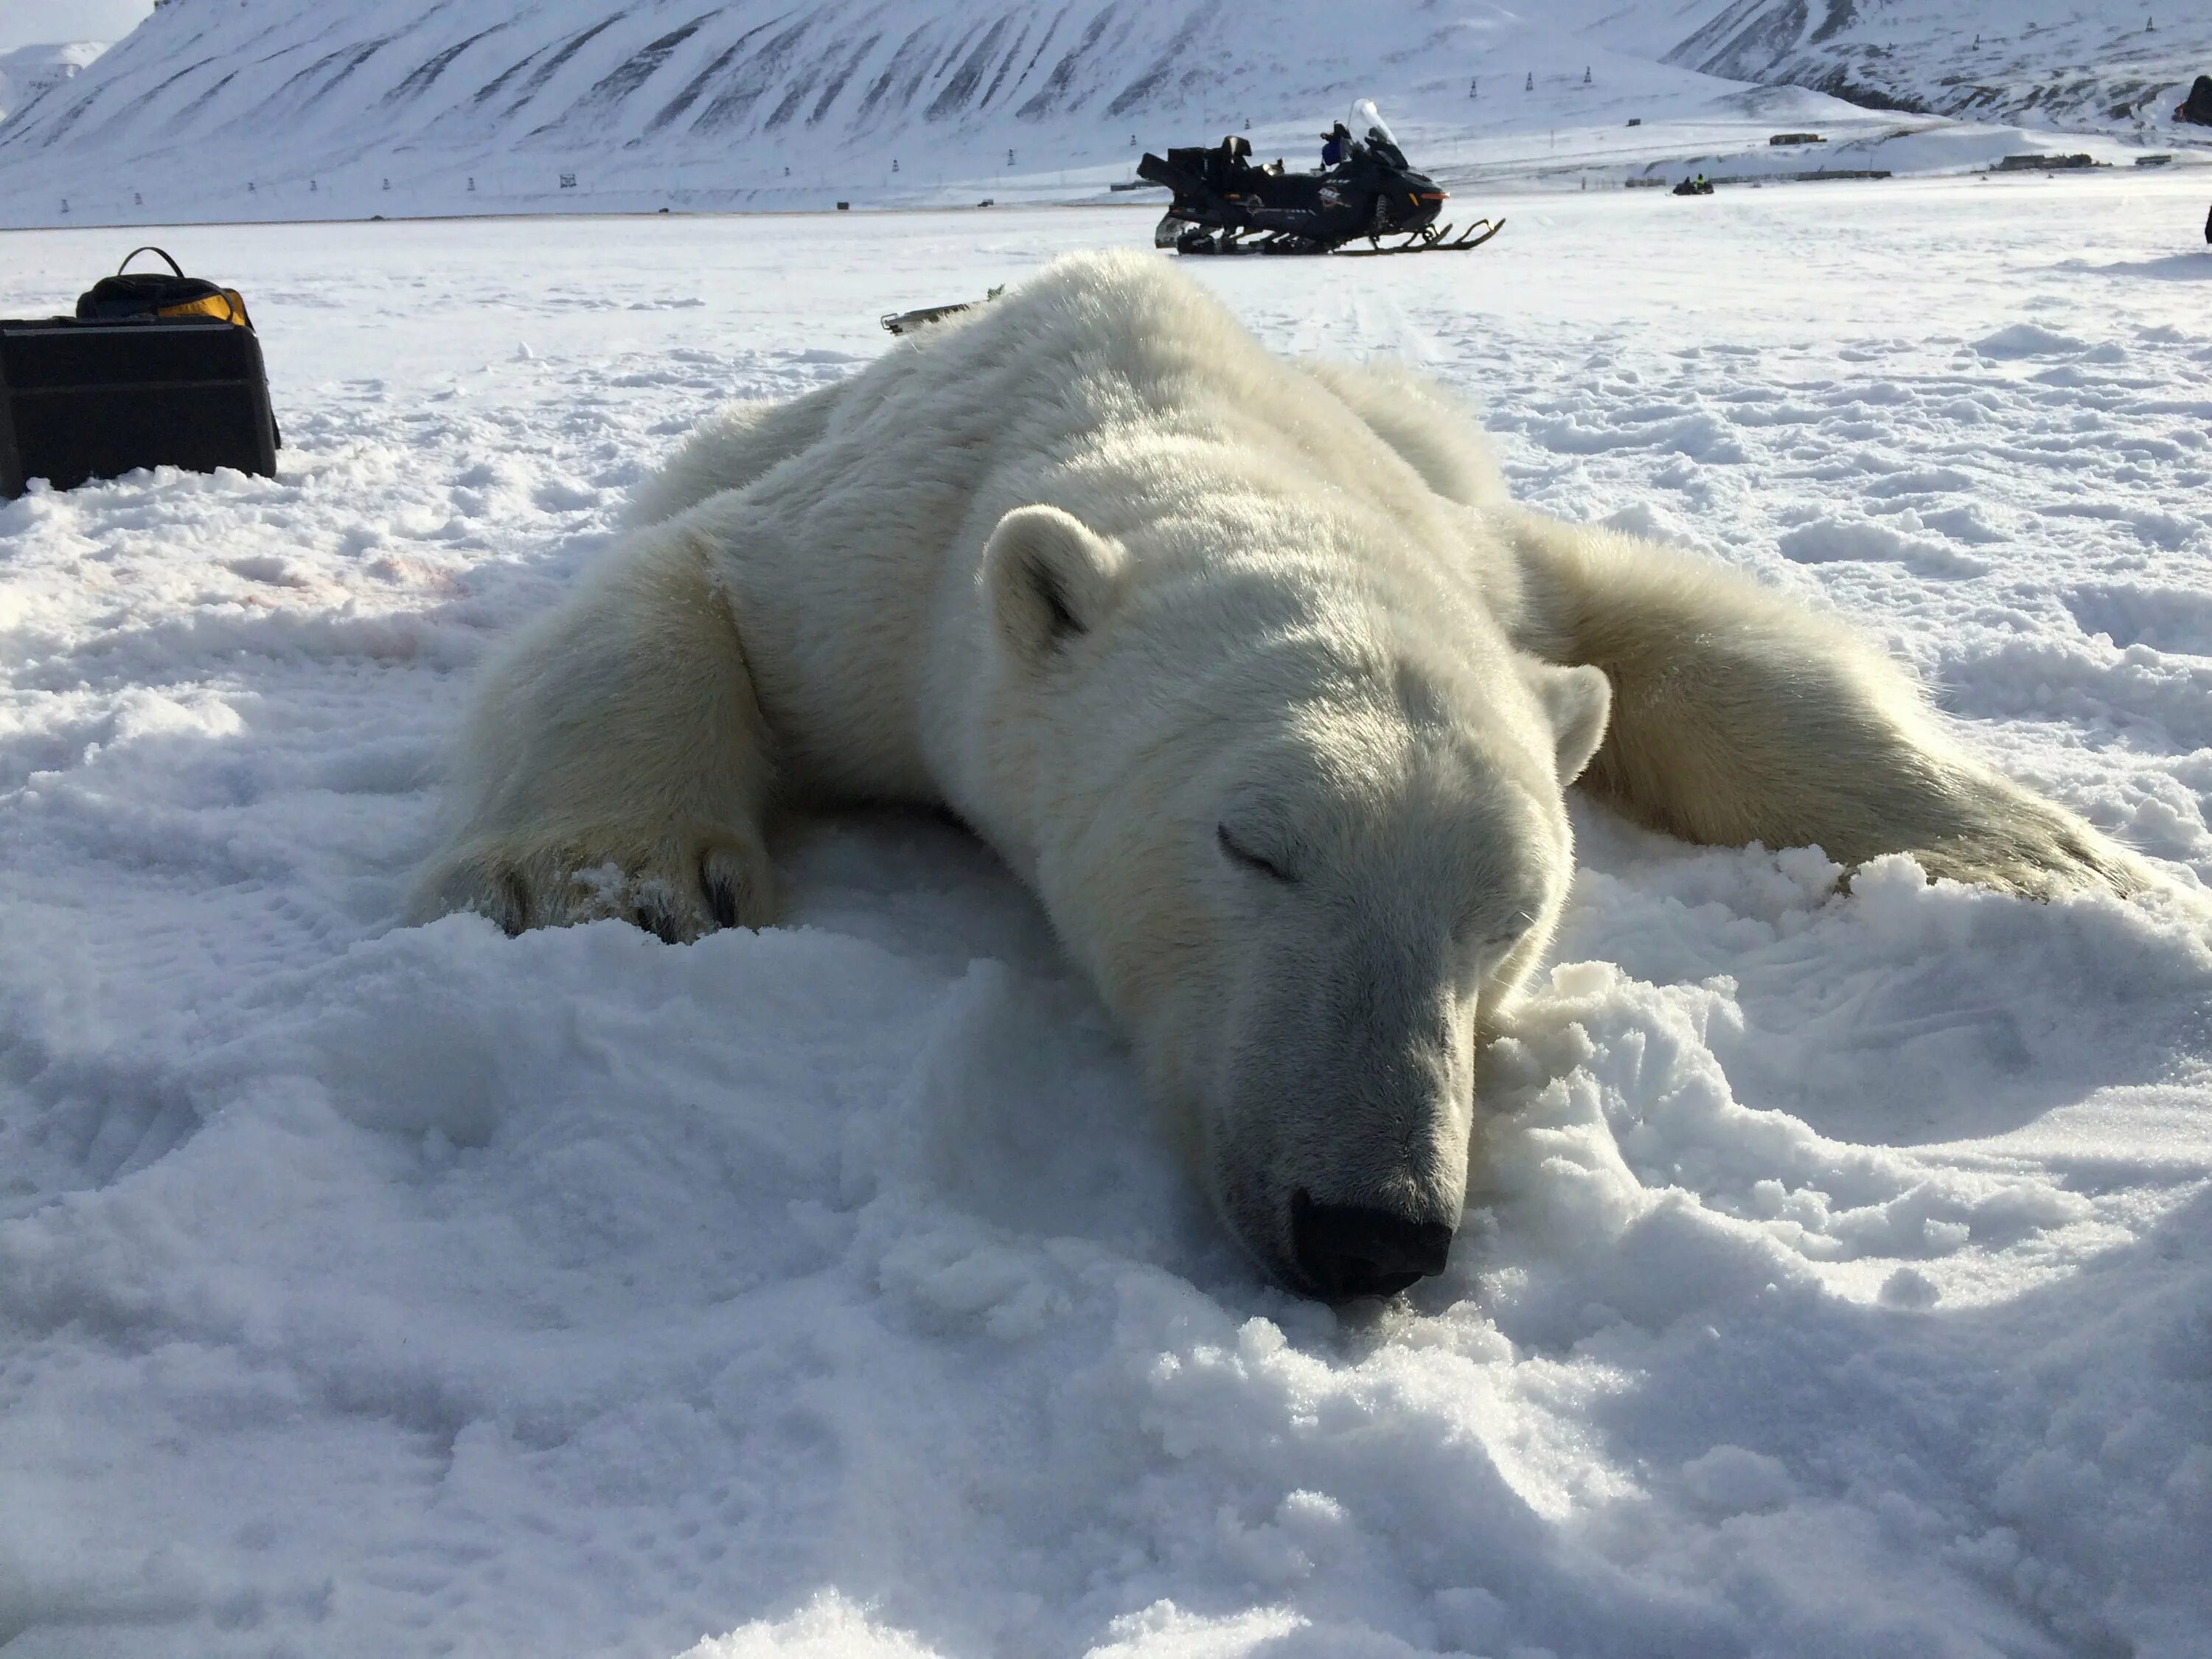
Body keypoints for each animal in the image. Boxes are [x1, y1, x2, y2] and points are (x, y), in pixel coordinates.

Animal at [411, 253, 2141, 1310]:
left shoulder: (1481, 560)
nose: (1374, 1228)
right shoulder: (882, 564)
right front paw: (609, 888)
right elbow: (676, 591)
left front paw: (2051, 858)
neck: (1161, 417)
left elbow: (1667, 629)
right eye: (1256, 848)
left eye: (1509, 916)